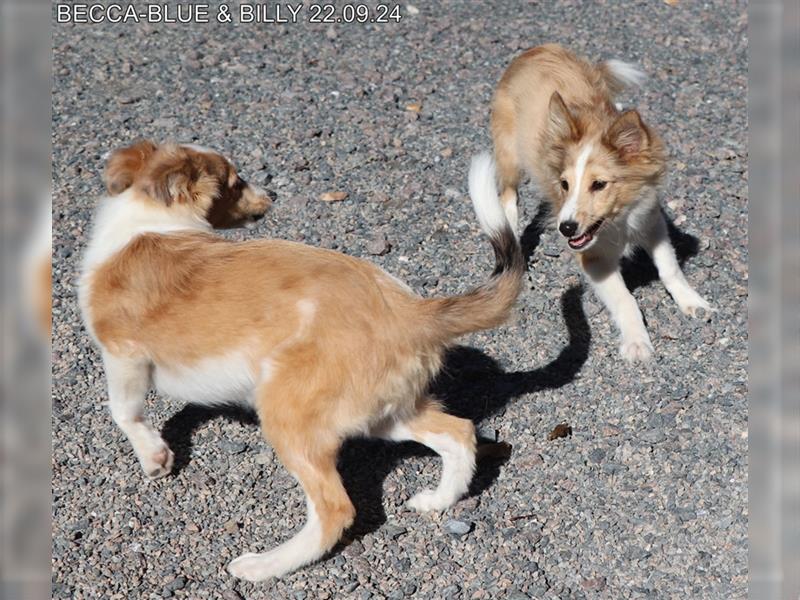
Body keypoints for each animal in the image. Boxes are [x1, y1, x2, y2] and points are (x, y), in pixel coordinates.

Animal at [78, 138, 520, 580]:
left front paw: (154, 458)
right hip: (385, 412)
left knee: (335, 509)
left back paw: (264, 565)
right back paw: (437, 500)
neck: (150, 215)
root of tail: (412, 313)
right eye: (235, 184)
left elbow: (123, 411)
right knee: (459, 432)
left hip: (290, 416)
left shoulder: (123, 355)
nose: (273, 195)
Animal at [488, 44, 712, 364]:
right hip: (509, 157)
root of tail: (534, 50)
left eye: (599, 184)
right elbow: (625, 298)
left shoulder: (650, 218)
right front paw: (637, 342)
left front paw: (692, 301)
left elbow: (669, 266)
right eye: (565, 184)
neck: (619, 221)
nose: (566, 229)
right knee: (508, 200)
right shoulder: (593, 258)